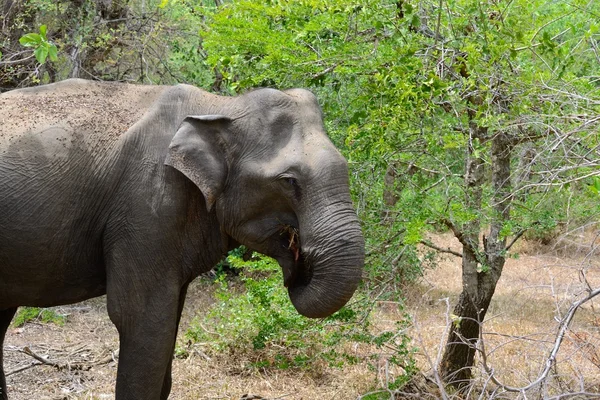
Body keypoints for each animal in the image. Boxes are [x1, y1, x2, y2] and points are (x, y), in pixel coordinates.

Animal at [0, 79, 364, 400]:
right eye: (289, 181)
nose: (298, 266)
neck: (220, 105)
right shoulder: (146, 208)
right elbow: (139, 317)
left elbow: (170, 319)